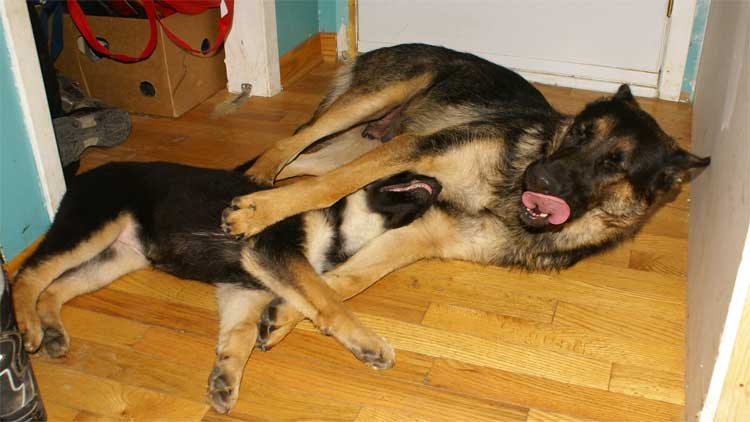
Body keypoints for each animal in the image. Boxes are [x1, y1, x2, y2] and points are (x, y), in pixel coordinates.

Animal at [10, 161, 440, 412]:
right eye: (398, 176)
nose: (437, 180)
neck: (339, 224)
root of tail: (83, 174)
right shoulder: (270, 250)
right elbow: (327, 298)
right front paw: (369, 344)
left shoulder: (246, 288)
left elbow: (242, 333)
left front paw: (227, 374)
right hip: (92, 227)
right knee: (28, 275)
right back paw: (26, 325)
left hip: (114, 256)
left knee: (55, 286)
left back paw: (52, 330)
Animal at [222, 42, 712, 352]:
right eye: (580, 132)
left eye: (615, 163)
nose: (539, 175)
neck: (505, 195)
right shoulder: (419, 148)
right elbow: (330, 190)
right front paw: (258, 214)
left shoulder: (420, 235)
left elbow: (345, 281)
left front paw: (287, 314)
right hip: (376, 103)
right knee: (292, 145)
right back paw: (257, 185)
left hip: (360, 145)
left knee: (302, 163)